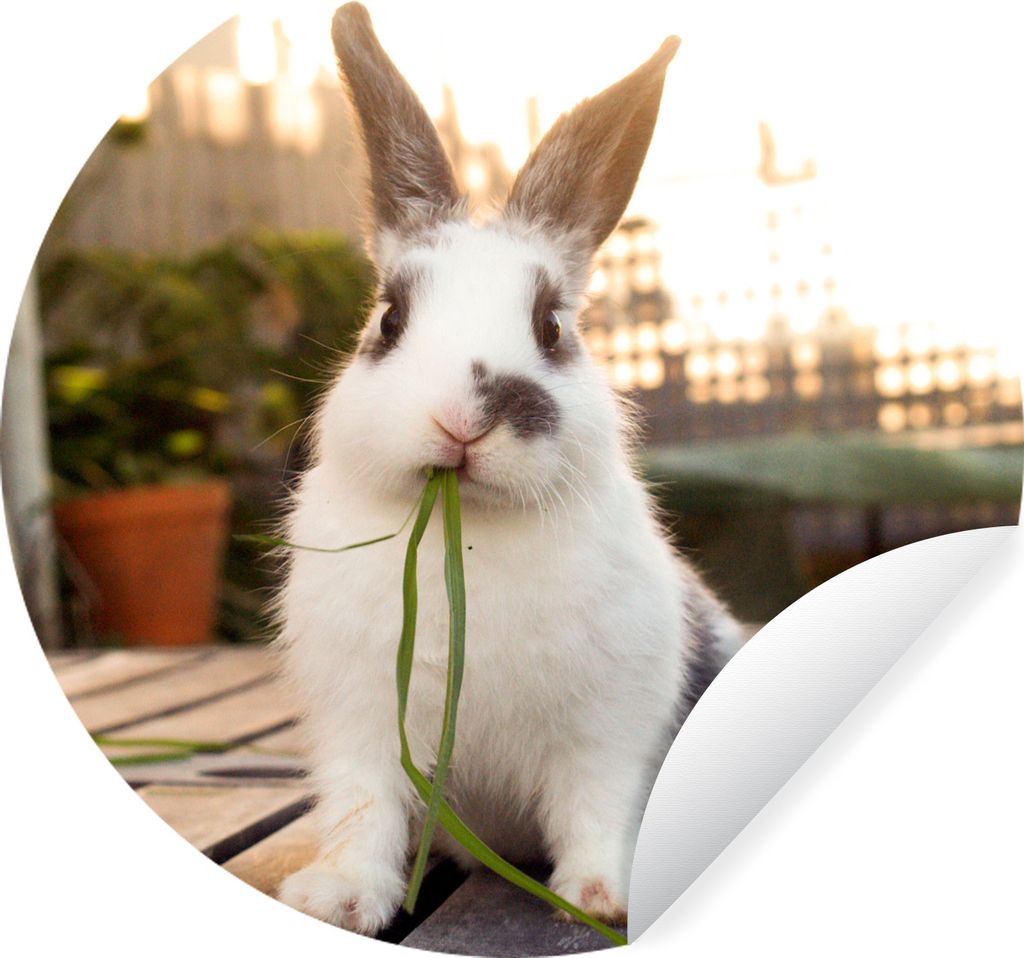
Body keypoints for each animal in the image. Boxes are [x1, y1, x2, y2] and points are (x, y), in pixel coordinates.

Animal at [275, 1, 744, 936]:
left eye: (552, 327)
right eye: (389, 319)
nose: (465, 419)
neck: (469, 537)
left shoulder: (611, 732)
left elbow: (599, 810)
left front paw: (602, 899)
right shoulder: (357, 729)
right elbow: (362, 813)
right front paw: (336, 898)